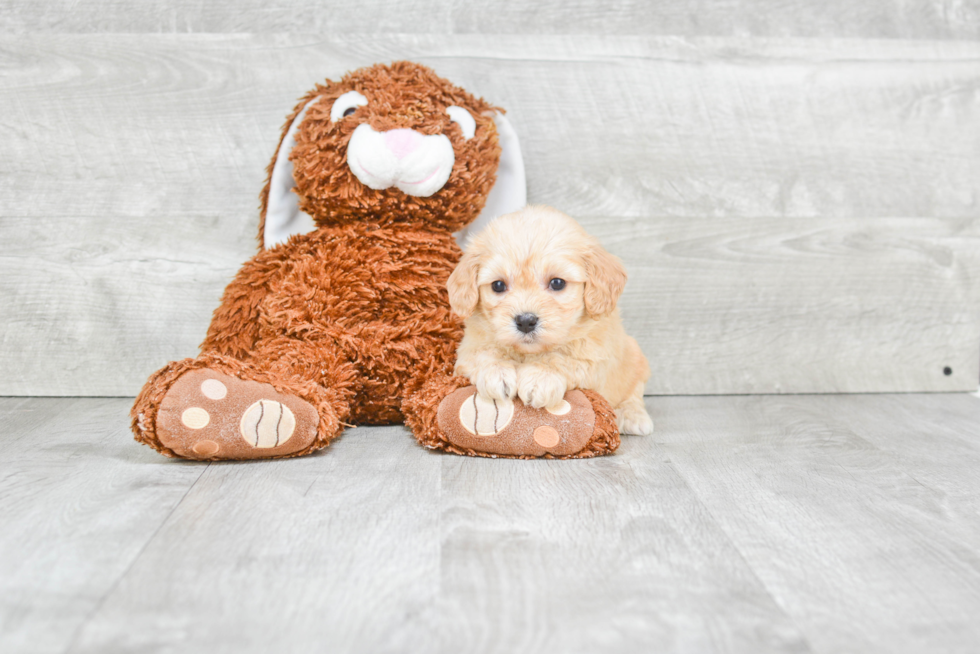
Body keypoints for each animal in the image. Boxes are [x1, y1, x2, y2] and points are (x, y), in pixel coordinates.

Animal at [448, 208, 656, 438]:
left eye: (557, 283)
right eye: (498, 285)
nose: (526, 321)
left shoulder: (596, 357)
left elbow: (563, 358)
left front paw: (541, 377)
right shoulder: (467, 350)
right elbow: (484, 354)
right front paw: (496, 372)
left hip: (635, 358)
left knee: (634, 392)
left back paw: (632, 415)